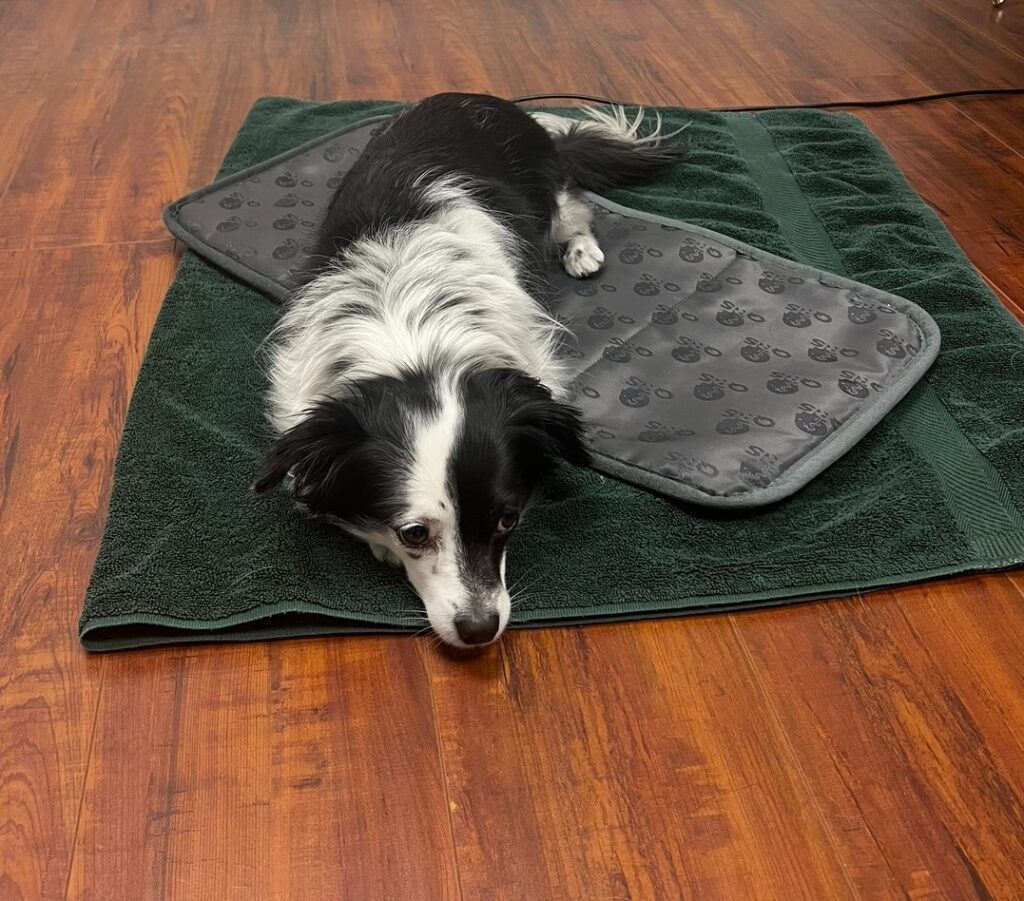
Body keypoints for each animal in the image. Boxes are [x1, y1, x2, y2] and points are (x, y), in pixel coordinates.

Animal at [252, 93, 684, 647]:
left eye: (507, 520)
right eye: (414, 534)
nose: (480, 631)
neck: (414, 336)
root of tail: (478, 99)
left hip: (549, 184)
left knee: (573, 209)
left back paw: (581, 251)